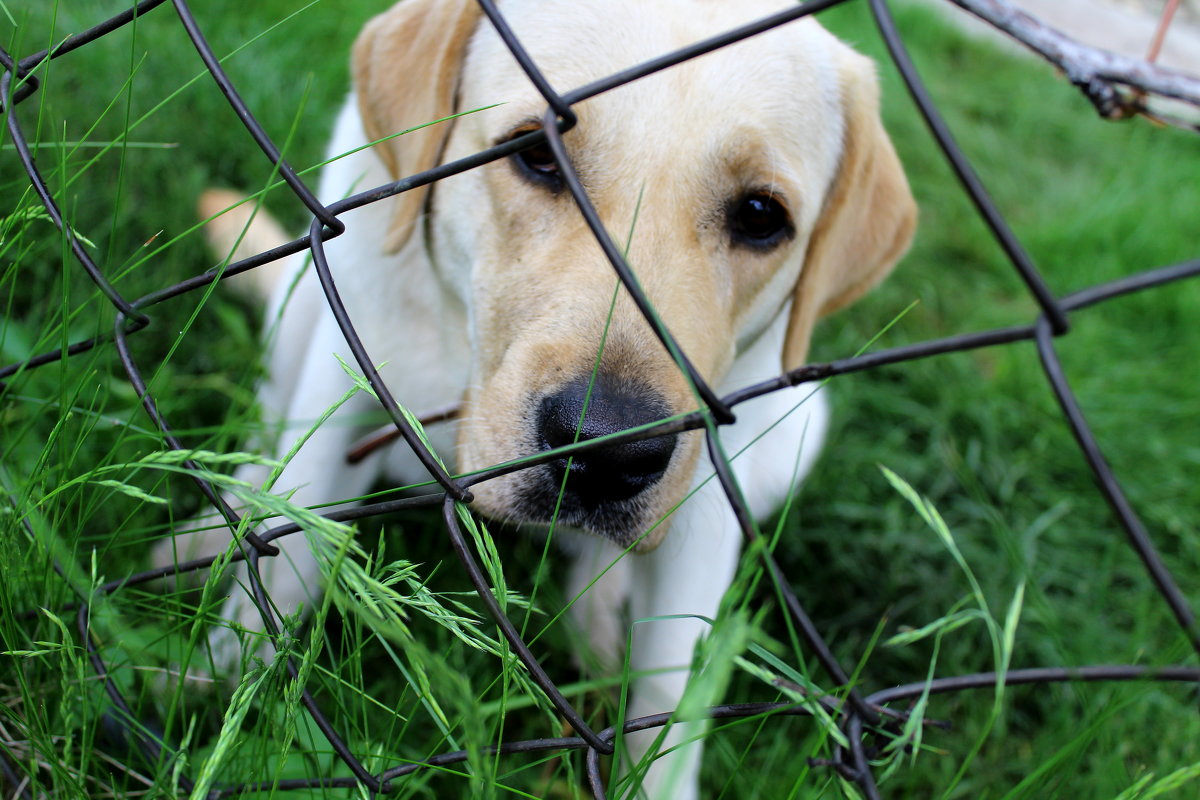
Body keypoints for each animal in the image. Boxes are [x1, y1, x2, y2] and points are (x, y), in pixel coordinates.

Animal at [157, 3, 907, 796]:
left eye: (761, 215)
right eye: (537, 155)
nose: (606, 452)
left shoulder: (709, 498)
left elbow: (670, 699)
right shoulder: (346, 364)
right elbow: (292, 546)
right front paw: (229, 679)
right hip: (300, 311)